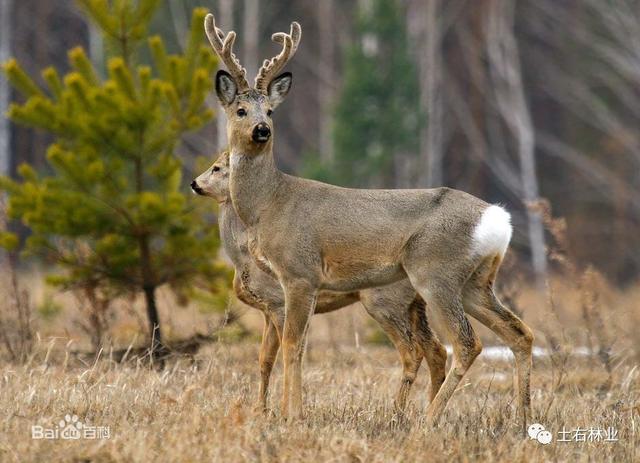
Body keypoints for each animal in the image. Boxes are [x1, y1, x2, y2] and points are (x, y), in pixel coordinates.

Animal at [192, 152, 448, 414]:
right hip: (415, 305)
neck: (242, 258)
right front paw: (260, 409)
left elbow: (285, 353)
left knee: (414, 352)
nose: (194, 183)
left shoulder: (277, 303)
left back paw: (398, 412)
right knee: (437, 350)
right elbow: (264, 360)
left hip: (385, 301)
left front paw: (279, 409)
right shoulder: (267, 311)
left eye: (216, 168)